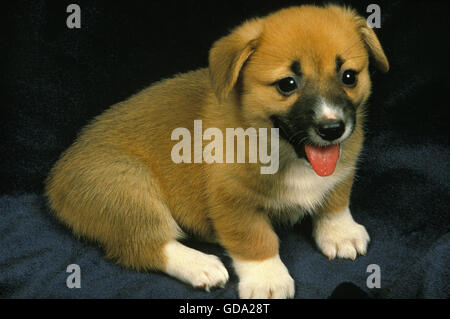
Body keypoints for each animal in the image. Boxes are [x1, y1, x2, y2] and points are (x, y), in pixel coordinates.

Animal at [46, 4, 390, 300]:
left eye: (349, 76)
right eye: (287, 84)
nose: (332, 129)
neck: (285, 152)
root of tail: (54, 181)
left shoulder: (341, 171)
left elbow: (335, 199)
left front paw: (340, 232)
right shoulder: (232, 201)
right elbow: (256, 240)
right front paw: (267, 279)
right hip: (128, 186)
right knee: (145, 245)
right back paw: (201, 265)